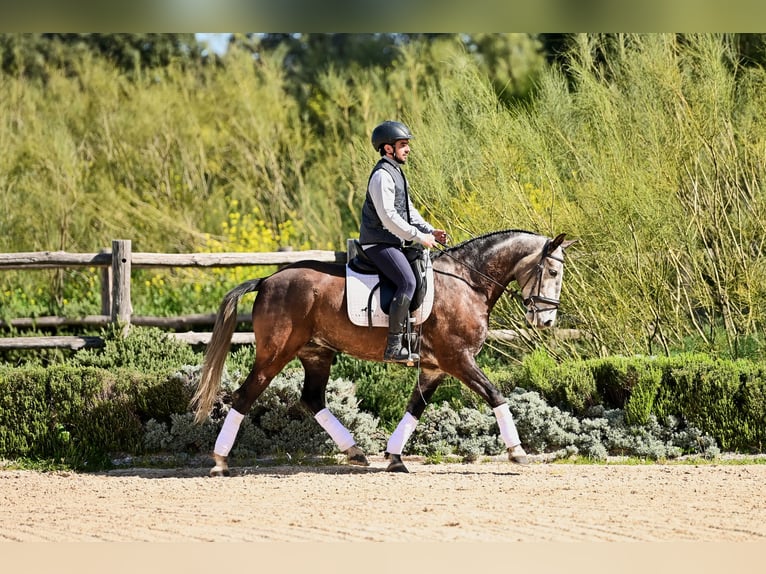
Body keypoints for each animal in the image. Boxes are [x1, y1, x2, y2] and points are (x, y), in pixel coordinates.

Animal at [192, 230, 576, 476]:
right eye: (553, 271)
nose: (547, 320)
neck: (468, 283)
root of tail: (268, 279)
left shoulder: (435, 367)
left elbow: (414, 409)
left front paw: (393, 457)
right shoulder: (458, 359)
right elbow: (496, 395)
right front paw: (518, 452)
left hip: (316, 353)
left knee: (312, 398)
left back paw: (355, 451)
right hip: (274, 355)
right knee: (244, 396)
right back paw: (220, 462)